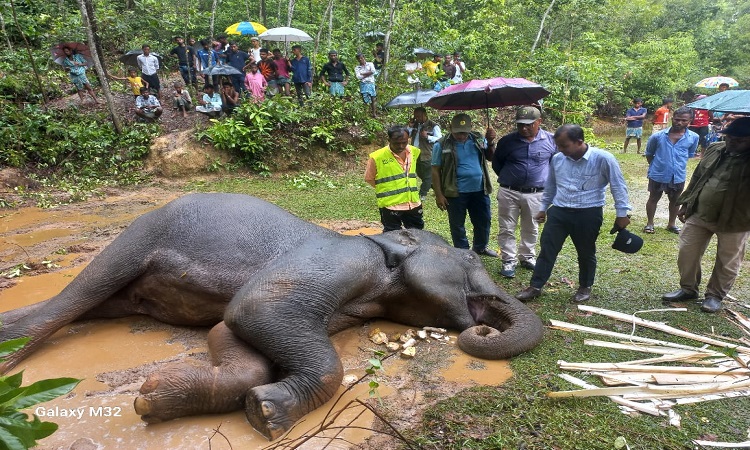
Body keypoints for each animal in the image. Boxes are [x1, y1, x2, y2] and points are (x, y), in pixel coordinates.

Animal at [0, 192, 544, 440]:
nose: (480, 326)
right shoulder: (341, 261)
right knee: (73, 300)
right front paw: (269, 415)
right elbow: (255, 308)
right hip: (139, 235)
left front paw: (156, 398)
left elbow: (229, 328)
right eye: (470, 259)